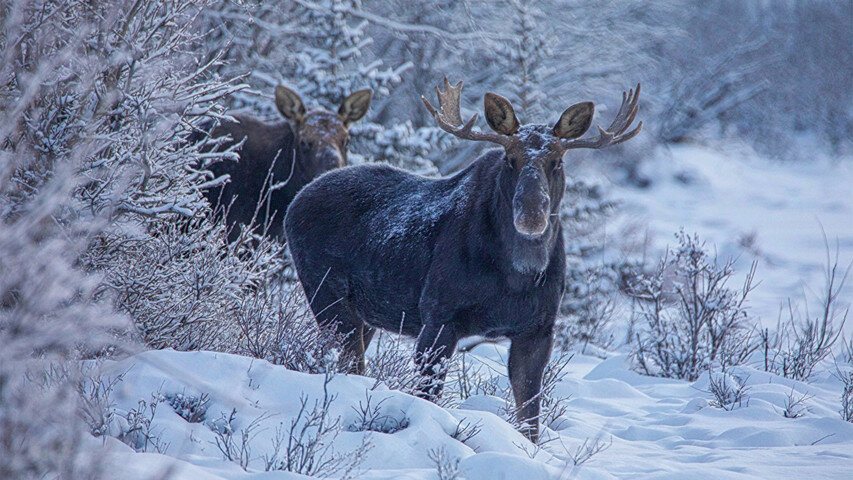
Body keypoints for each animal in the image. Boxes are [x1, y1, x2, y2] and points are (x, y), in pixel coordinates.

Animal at [286, 79, 640, 442]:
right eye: (510, 158)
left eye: (557, 160)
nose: (531, 213)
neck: (517, 276)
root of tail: (295, 202)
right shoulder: (438, 315)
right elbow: (426, 394)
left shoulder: (539, 328)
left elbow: (529, 413)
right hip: (326, 294)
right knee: (346, 360)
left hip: (363, 314)